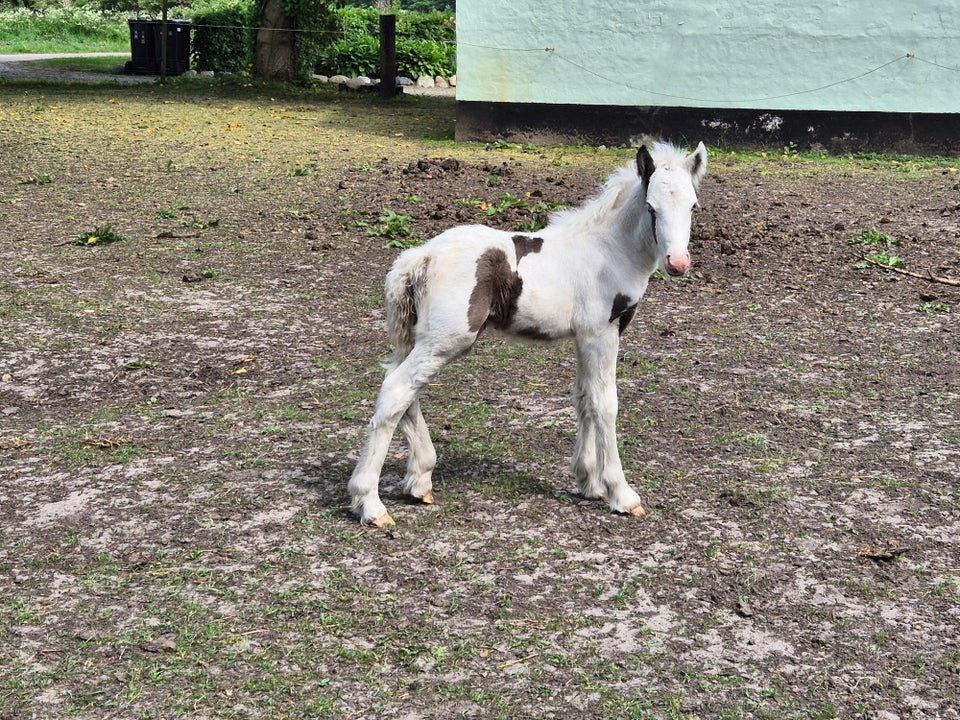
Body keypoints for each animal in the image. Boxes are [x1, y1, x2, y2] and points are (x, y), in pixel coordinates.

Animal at [346, 141, 704, 524]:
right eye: (651, 207)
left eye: (693, 205)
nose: (678, 263)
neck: (609, 251)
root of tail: (421, 256)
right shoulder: (602, 333)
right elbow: (605, 404)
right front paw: (620, 493)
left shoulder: (584, 337)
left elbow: (583, 398)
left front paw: (588, 482)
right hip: (447, 339)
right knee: (397, 390)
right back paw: (370, 502)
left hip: (419, 338)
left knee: (405, 392)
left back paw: (419, 481)